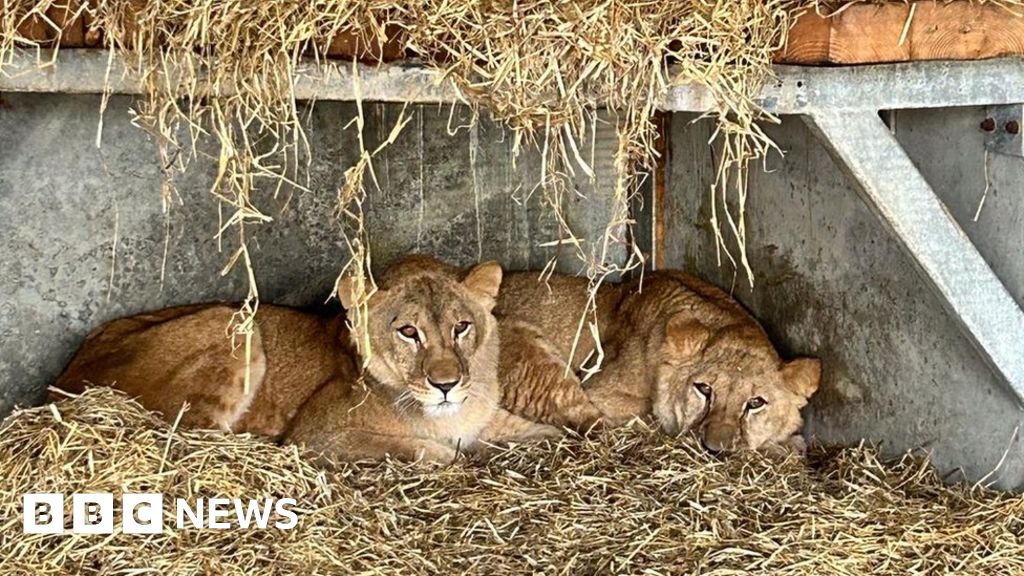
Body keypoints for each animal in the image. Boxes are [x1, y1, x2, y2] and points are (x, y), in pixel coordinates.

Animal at [56, 253, 557, 459]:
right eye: (408, 332)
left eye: (461, 327)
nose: (447, 384)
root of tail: (64, 376)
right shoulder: (319, 436)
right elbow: (421, 449)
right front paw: (451, 453)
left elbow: (541, 433)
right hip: (233, 322)